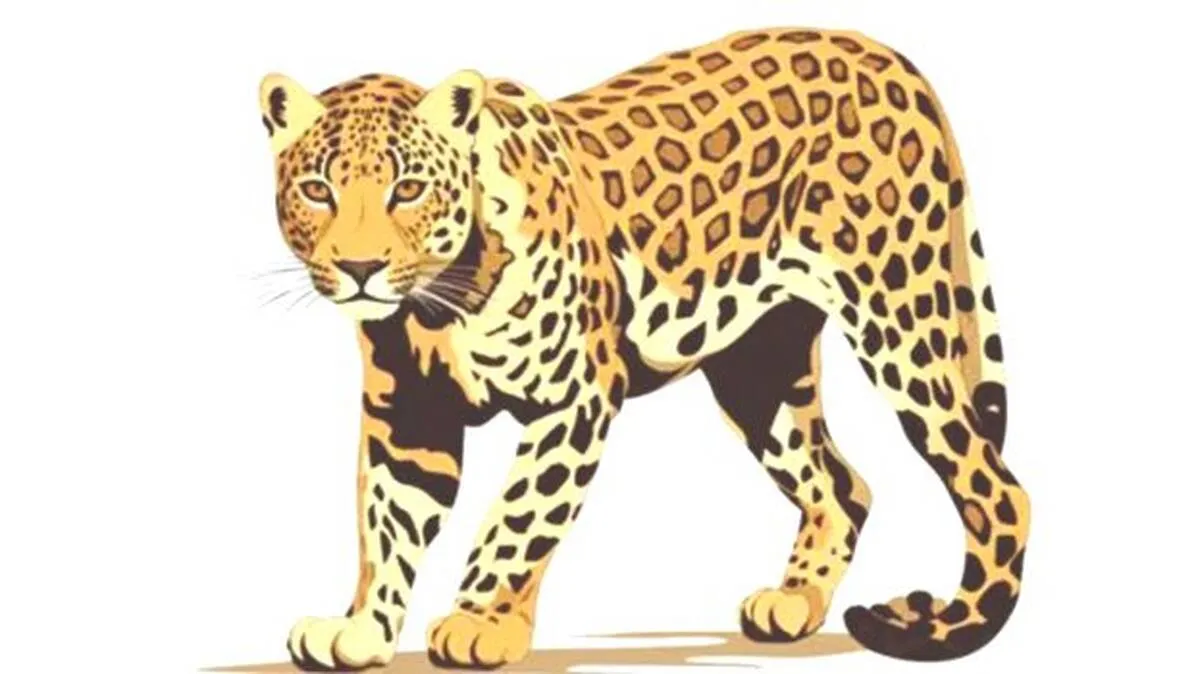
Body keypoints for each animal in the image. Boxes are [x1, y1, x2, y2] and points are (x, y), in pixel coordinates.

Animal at [256, 26, 1030, 669]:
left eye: (409, 188)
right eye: (317, 190)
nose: (360, 268)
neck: (435, 306)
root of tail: (886, 54)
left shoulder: (576, 396)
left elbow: (519, 516)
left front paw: (481, 623)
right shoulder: (410, 419)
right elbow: (387, 524)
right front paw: (363, 631)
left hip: (901, 317)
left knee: (994, 485)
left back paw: (958, 626)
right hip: (758, 369)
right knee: (843, 486)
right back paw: (795, 604)